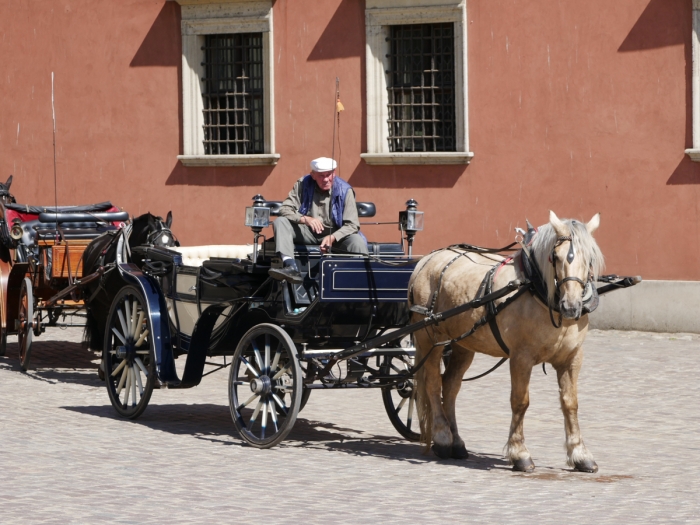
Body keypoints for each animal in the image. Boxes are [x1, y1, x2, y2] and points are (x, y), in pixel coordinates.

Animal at [410, 211, 600, 472]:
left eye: (589, 258)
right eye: (556, 256)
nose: (571, 306)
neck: (538, 292)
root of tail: (426, 260)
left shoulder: (572, 358)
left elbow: (570, 403)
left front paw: (580, 454)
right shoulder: (521, 357)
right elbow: (520, 402)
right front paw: (519, 453)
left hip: (462, 345)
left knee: (450, 387)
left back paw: (456, 441)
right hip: (429, 339)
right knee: (432, 384)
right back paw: (442, 437)